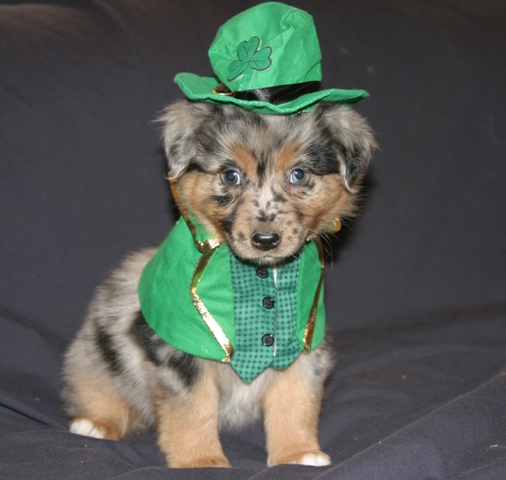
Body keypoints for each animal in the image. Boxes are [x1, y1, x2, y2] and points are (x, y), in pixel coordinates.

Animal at [61, 98, 375, 468]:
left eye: (299, 174)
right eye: (230, 175)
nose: (265, 240)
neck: (257, 276)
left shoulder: (302, 345)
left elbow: (295, 402)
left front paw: (297, 454)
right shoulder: (180, 354)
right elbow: (193, 410)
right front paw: (201, 460)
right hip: (93, 355)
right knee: (96, 389)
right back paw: (95, 423)